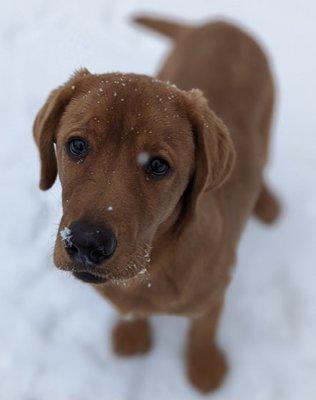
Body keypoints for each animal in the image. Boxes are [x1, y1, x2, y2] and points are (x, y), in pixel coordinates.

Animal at [34, 14, 282, 390]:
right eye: (76, 145)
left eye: (158, 165)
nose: (87, 244)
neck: (153, 266)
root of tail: (220, 22)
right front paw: (133, 334)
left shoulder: (216, 290)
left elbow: (203, 329)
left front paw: (204, 365)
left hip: (267, 121)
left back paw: (265, 202)